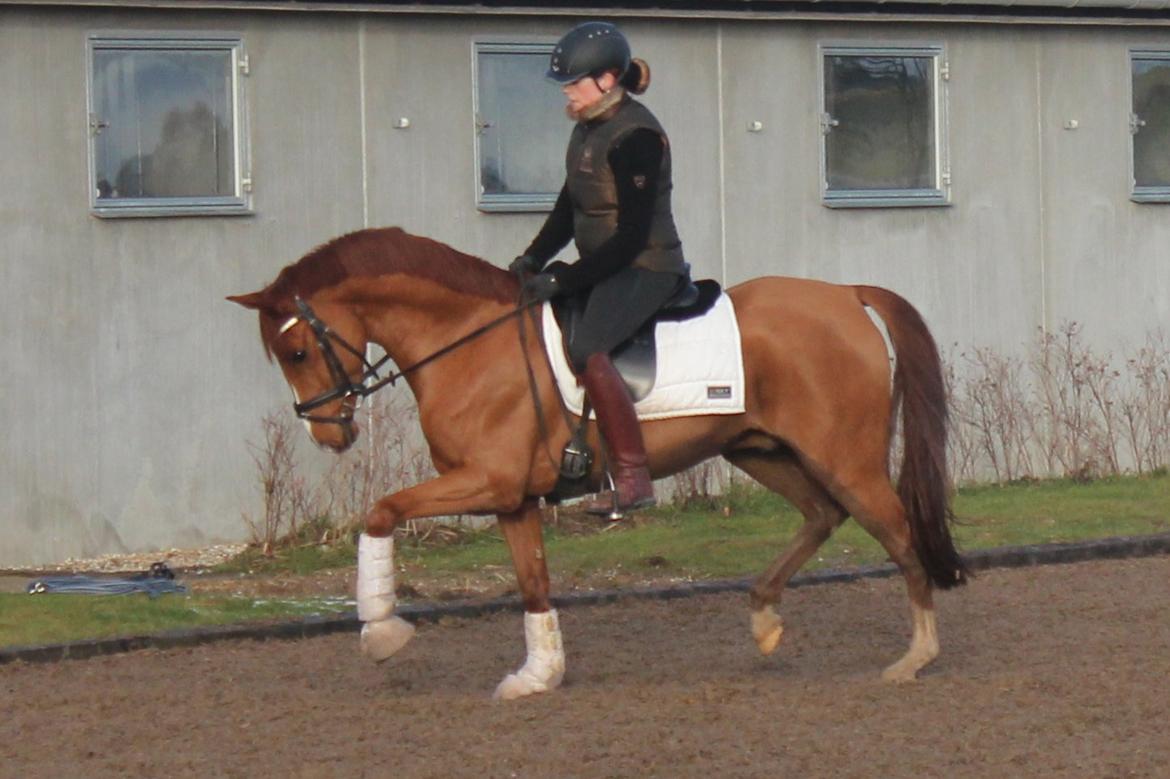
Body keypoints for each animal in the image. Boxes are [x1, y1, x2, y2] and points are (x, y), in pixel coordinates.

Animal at [228, 226, 968, 700]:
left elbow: (381, 510)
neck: (468, 342)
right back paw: (763, 617)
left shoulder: (486, 481)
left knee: (898, 533)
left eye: (297, 352)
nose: (328, 431)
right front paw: (539, 675)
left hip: (843, 455)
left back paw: (916, 656)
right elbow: (533, 581)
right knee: (822, 514)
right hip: (762, 449)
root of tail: (846, 294)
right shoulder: (512, 497)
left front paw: (381, 632)